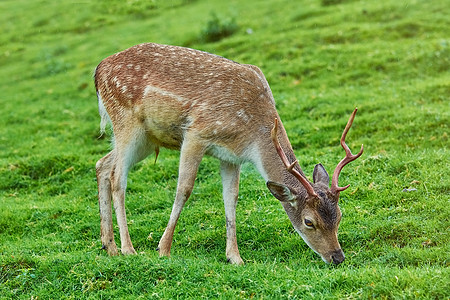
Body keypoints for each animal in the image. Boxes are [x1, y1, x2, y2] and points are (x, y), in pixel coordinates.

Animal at [93, 42, 364, 264]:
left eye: (339, 216)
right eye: (309, 221)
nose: (337, 257)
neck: (252, 134)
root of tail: (97, 71)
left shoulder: (231, 156)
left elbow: (230, 199)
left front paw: (235, 257)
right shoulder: (196, 133)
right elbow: (184, 189)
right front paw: (164, 249)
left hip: (148, 138)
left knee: (102, 164)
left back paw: (109, 246)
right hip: (127, 122)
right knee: (118, 177)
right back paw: (128, 249)